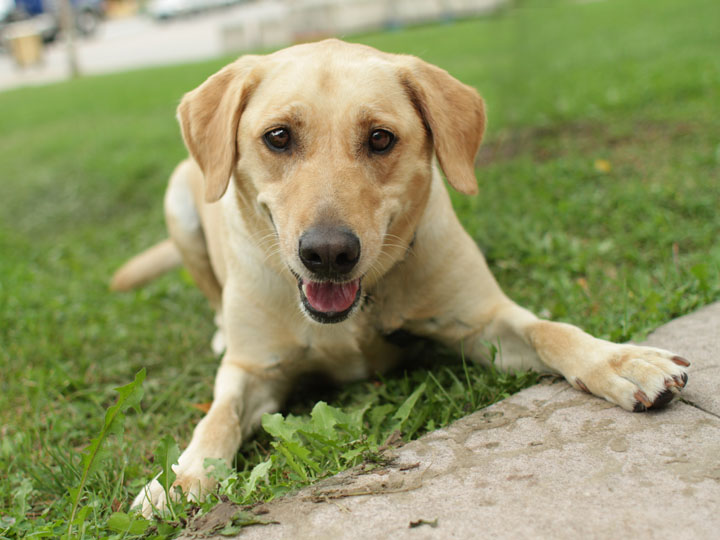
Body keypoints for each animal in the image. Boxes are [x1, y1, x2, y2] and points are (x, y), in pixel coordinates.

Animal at [111, 39, 688, 516]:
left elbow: (550, 330)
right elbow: (218, 416)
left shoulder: (483, 321)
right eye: (277, 137)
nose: (328, 254)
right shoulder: (251, 369)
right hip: (180, 206)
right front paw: (182, 476)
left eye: (380, 138)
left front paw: (618, 360)